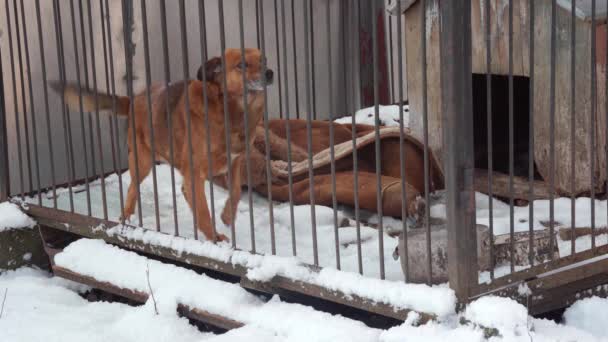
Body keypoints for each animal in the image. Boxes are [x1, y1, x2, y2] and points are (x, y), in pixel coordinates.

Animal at [52, 48, 276, 243]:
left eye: (264, 60)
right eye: (242, 65)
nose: (270, 72)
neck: (229, 112)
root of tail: (133, 99)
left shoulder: (235, 162)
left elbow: (236, 191)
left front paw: (227, 216)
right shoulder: (195, 172)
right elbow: (204, 210)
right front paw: (214, 238)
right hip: (142, 161)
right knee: (133, 188)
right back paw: (126, 218)